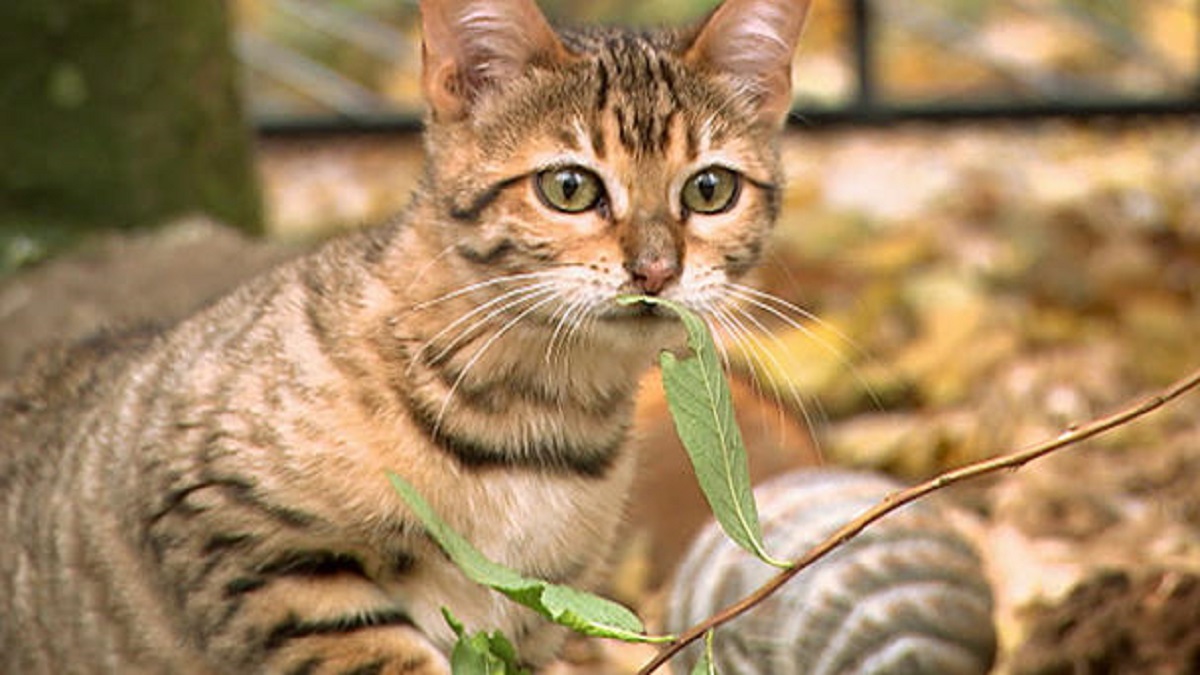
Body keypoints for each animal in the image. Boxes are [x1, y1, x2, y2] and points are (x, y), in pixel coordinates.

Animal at [0, 0, 811, 667]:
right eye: (569, 187)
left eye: (710, 189)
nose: (655, 269)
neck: (538, 414)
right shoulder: (224, 519)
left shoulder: (541, 608)